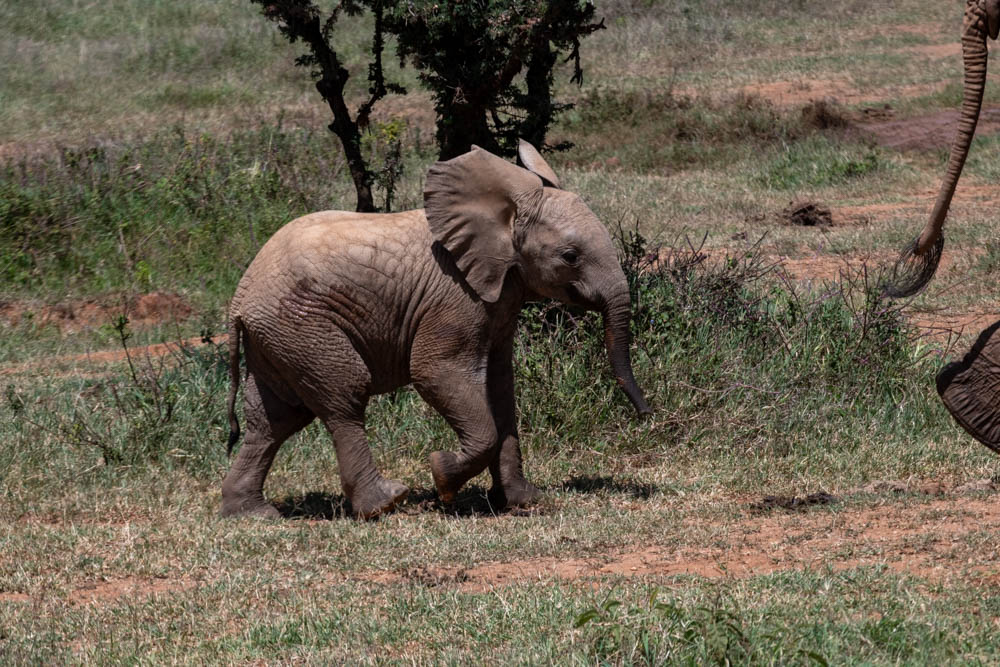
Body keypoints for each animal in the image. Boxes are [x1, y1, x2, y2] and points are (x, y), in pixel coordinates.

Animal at [220, 140, 652, 519]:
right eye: (570, 257)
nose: (647, 415)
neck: (505, 214)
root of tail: (239, 299)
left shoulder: (498, 301)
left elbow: (500, 385)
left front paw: (524, 502)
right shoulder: (455, 297)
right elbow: (435, 372)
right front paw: (443, 478)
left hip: (277, 335)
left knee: (273, 420)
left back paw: (253, 514)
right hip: (303, 324)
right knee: (343, 398)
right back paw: (385, 503)